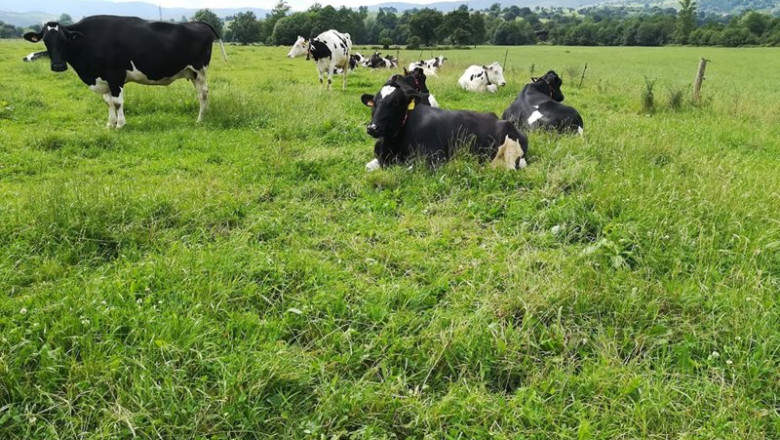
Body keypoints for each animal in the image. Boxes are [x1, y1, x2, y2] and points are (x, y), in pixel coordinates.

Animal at [24, 15, 226, 129]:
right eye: (45, 40)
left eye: (65, 40)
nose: (58, 66)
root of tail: (197, 23)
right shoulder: (103, 79)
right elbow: (108, 102)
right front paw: (110, 123)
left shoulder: (115, 76)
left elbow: (118, 102)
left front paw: (120, 125)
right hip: (192, 73)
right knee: (201, 94)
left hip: (199, 70)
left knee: (203, 94)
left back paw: (200, 120)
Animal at [360, 80, 527, 171]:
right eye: (374, 103)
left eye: (395, 103)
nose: (372, 128)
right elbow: (368, 166)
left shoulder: (436, 158)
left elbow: (408, 168)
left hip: (510, 154)